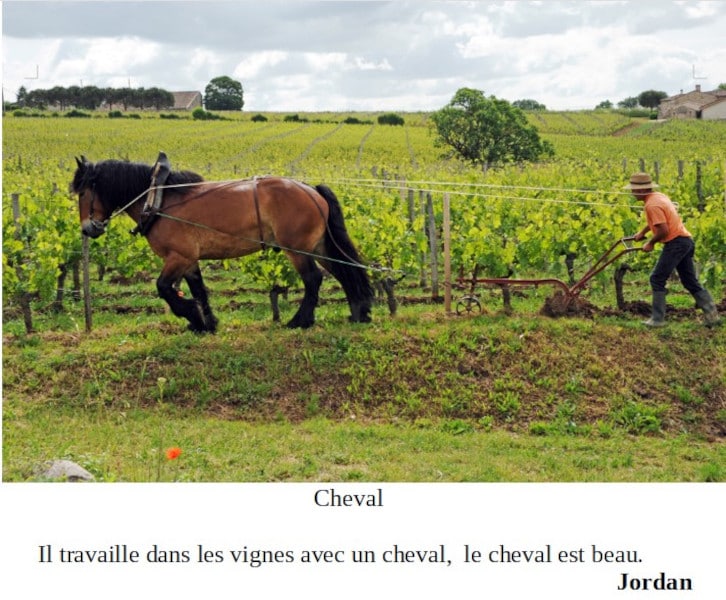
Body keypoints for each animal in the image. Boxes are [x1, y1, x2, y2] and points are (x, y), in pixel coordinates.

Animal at [70, 156, 373, 332]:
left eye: (83, 192)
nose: (87, 228)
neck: (158, 199)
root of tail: (311, 189)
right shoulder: (189, 259)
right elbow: (199, 290)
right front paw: (206, 323)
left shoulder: (178, 256)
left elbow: (164, 288)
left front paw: (192, 315)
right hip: (319, 245)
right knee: (344, 271)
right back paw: (359, 312)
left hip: (296, 249)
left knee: (313, 279)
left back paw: (300, 321)